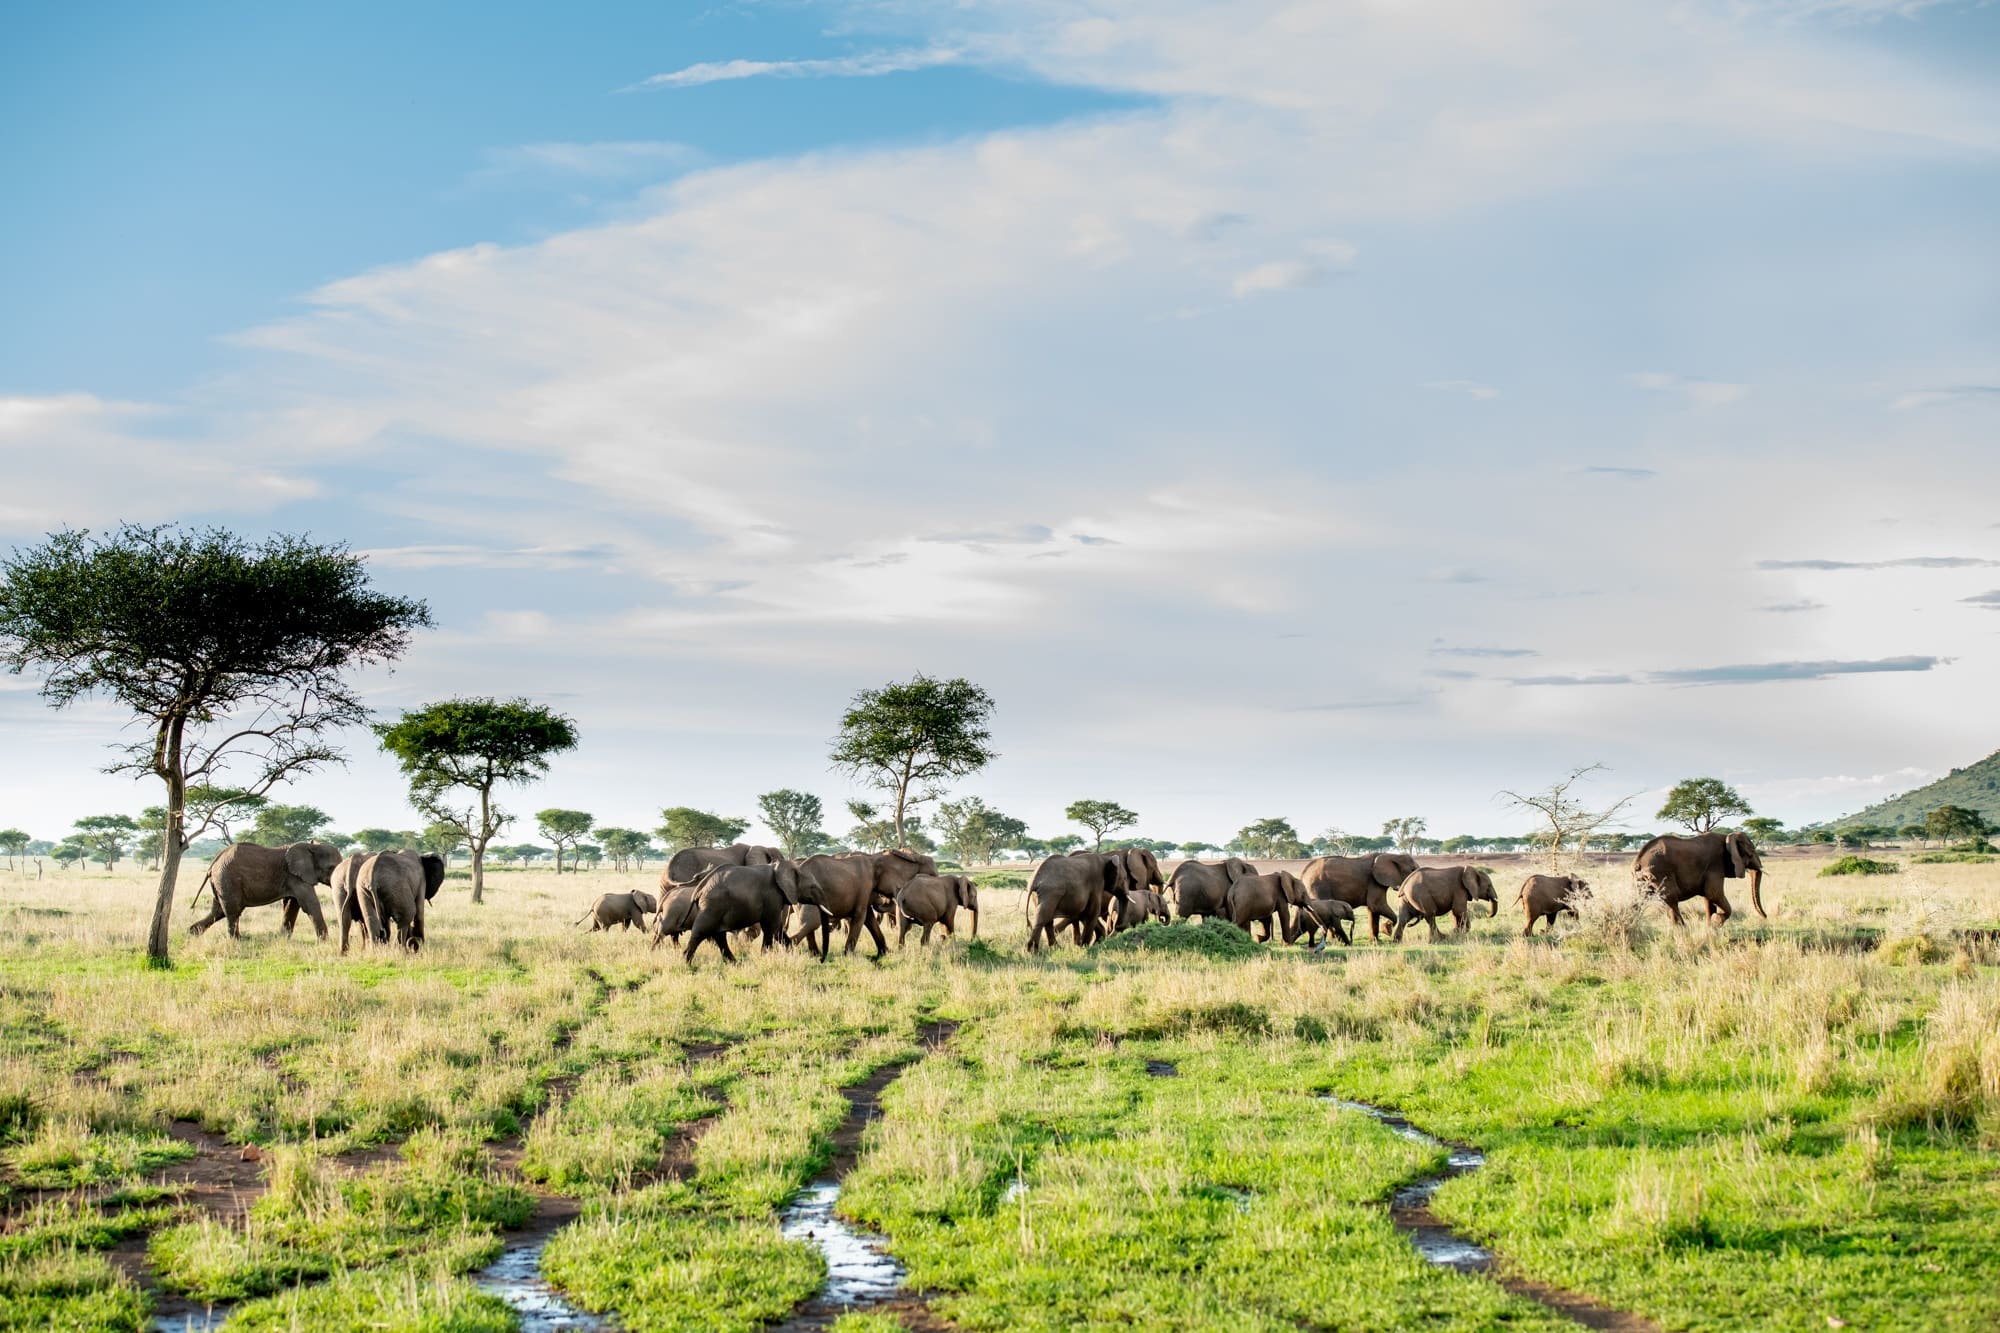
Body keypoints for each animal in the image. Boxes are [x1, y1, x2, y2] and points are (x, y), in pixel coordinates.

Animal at [188, 840, 340, 932]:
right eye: (331, 868)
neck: (311, 846)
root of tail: (214, 862)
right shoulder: (295, 876)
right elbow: (310, 904)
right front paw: (324, 942)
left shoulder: (294, 877)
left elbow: (291, 905)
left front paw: (283, 940)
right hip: (227, 879)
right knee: (232, 912)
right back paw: (236, 942)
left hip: (221, 883)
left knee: (218, 911)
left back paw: (192, 933)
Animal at [680, 856, 820, 960]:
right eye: (812, 887)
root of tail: (700, 887)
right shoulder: (772, 896)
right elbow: (771, 926)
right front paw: (765, 957)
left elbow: (777, 928)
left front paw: (790, 952)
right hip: (712, 906)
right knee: (701, 932)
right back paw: (686, 962)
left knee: (718, 935)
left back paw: (734, 963)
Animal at [1296, 844, 1424, 940]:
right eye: (1412, 870)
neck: (1392, 855)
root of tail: (1303, 873)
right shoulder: (1374, 881)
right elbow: (1376, 905)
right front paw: (1386, 930)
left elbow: (1373, 910)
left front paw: (1375, 941)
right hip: (1318, 888)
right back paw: (1336, 939)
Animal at [1640, 832, 1768, 924]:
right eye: (1751, 853)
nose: (1766, 917)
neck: (1727, 836)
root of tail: (1639, 860)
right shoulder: (1715, 865)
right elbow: (1714, 894)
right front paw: (1717, 921)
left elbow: (1709, 898)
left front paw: (1711, 928)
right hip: (1660, 873)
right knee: (1671, 899)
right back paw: (1682, 931)